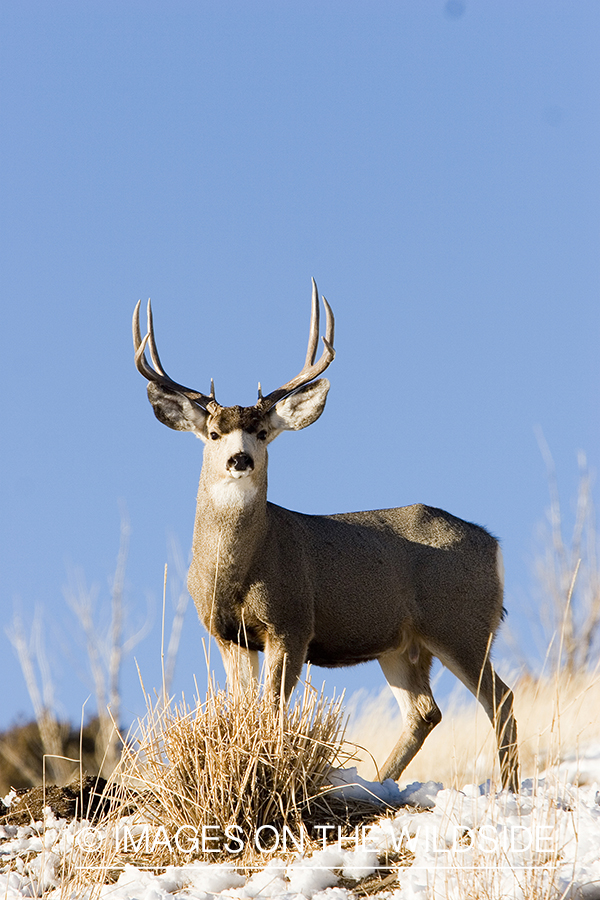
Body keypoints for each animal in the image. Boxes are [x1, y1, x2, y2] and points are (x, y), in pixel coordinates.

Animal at [132, 280, 519, 791]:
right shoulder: (229, 635)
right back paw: (379, 784)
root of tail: (494, 545)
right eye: (214, 433)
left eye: (261, 431)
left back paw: (509, 787)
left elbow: (272, 712)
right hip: (403, 643)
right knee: (424, 712)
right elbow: (244, 710)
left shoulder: (292, 622)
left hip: (461, 624)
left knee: (501, 700)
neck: (237, 570)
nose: (240, 459)